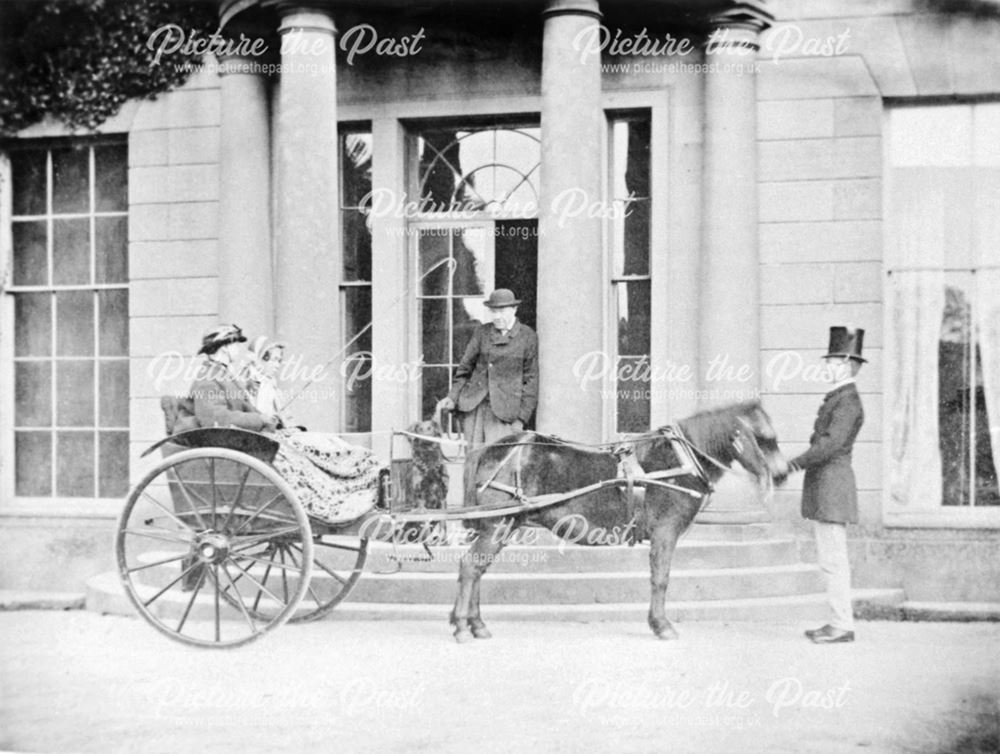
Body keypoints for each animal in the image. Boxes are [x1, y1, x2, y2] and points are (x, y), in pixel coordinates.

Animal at [448, 400, 788, 640]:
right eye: (763, 438)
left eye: (773, 437)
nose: (783, 474)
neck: (680, 461)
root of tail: (488, 449)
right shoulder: (665, 533)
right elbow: (661, 579)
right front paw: (661, 625)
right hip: (498, 525)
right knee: (471, 568)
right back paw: (464, 627)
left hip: (501, 526)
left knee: (477, 570)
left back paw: (476, 624)